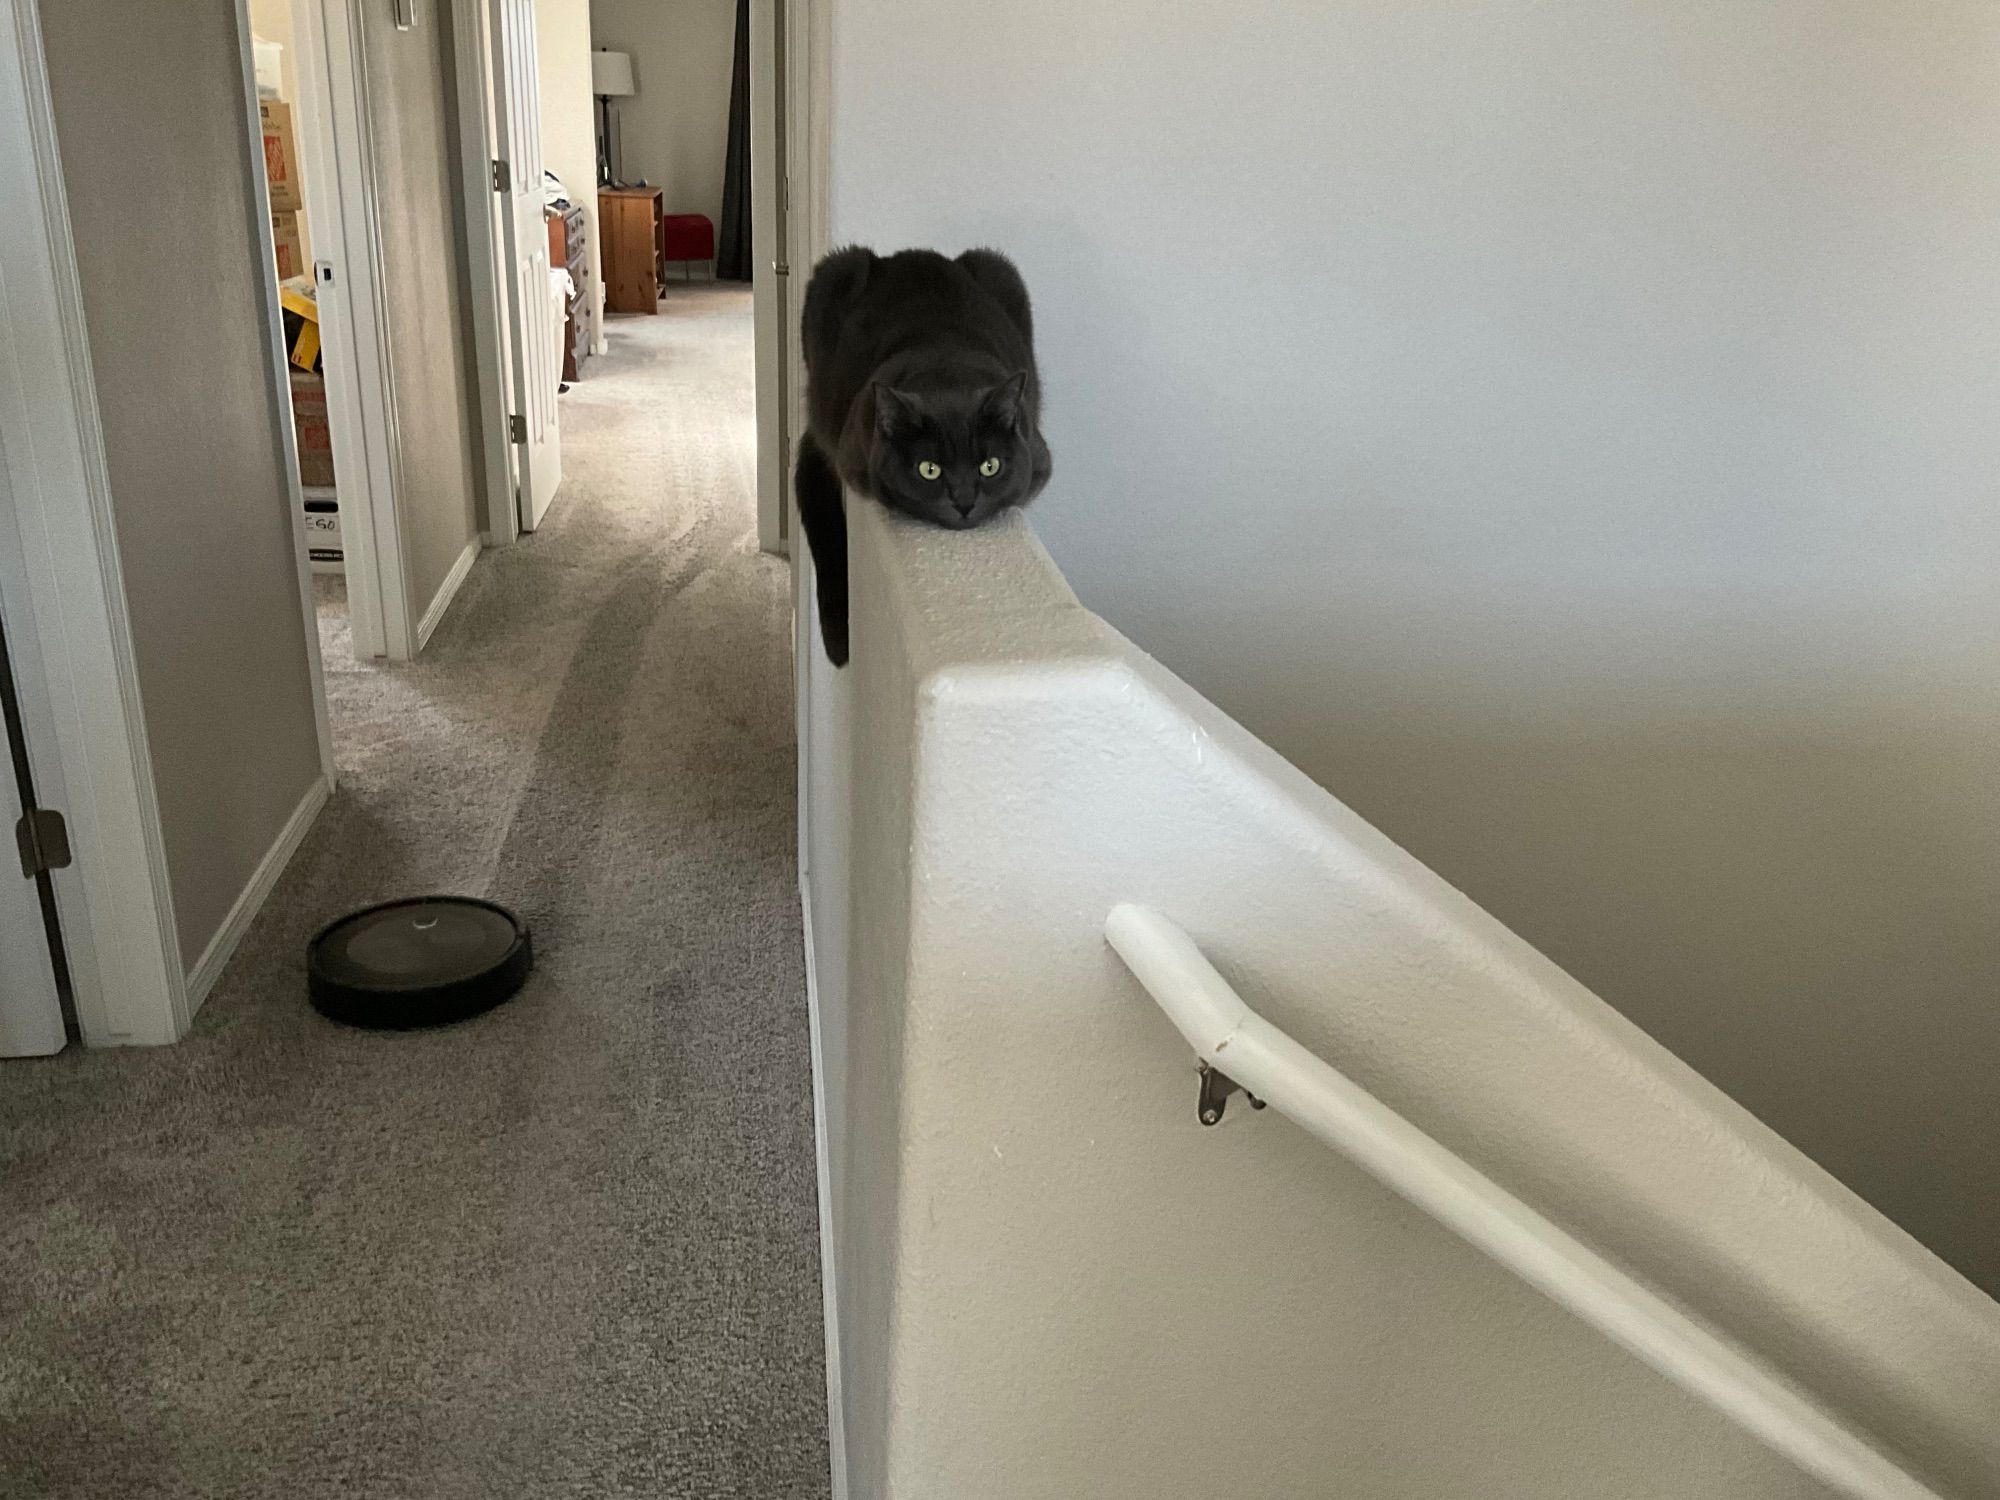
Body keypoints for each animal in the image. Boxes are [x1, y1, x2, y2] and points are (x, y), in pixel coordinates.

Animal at [792, 247, 1056, 664]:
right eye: (929, 469)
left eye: (990, 466)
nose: (964, 501)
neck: (948, 371)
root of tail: (906, 256)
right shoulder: (850, 457)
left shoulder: (1039, 461)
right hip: (835, 272)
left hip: (999, 268)